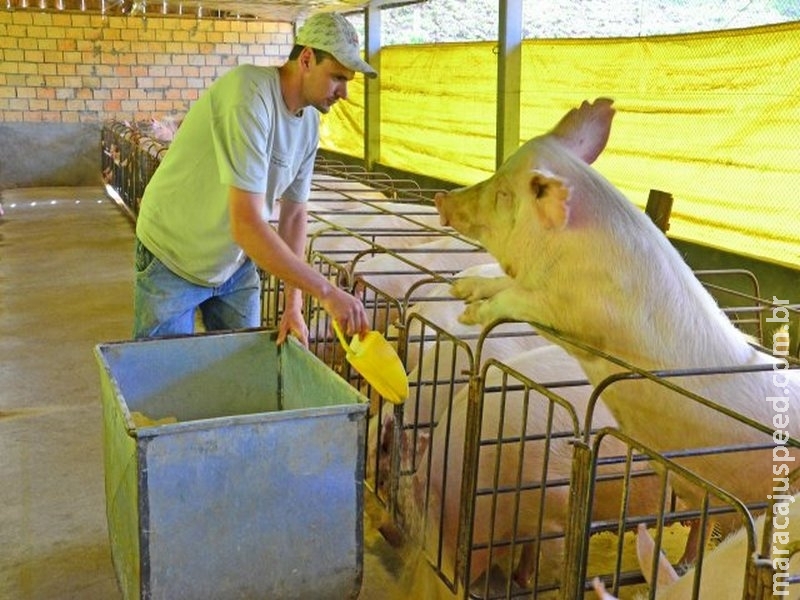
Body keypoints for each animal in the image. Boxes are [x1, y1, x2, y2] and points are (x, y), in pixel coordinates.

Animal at [432, 98, 800, 564]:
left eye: (503, 193)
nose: (441, 196)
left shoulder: (579, 317)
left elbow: (516, 300)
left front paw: (471, 313)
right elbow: (500, 280)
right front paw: (461, 285)